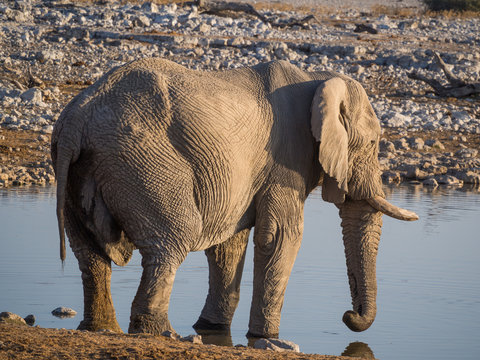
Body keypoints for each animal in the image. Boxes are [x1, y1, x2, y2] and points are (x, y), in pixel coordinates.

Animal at [51, 57, 416, 338]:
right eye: (373, 143)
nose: (349, 316)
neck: (319, 78)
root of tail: (77, 117)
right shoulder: (286, 160)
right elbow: (281, 236)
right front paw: (265, 338)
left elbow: (229, 244)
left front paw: (211, 327)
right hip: (143, 162)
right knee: (172, 240)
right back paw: (160, 332)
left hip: (77, 168)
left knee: (89, 252)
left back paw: (100, 328)